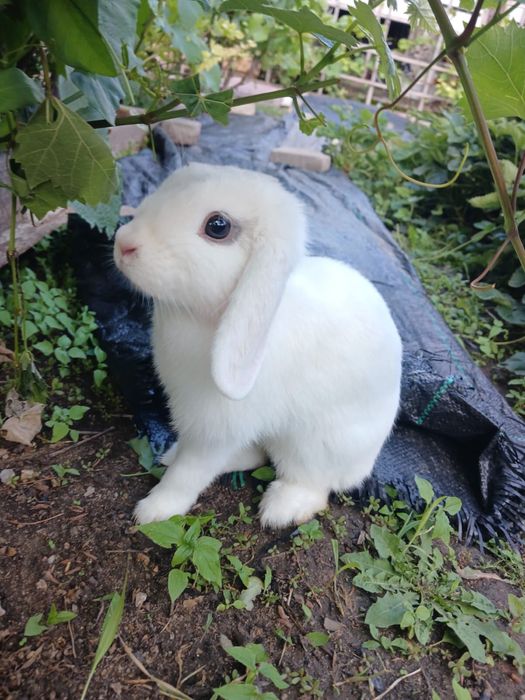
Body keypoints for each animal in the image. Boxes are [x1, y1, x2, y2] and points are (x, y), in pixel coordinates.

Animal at [113, 162, 402, 528]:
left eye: (218, 226)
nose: (123, 243)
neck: (208, 318)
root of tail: (366, 462)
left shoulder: (215, 430)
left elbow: (189, 473)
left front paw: (155, 511)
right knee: (256, 454)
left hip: (315, 444)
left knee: (314, 482)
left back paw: (282, 508)